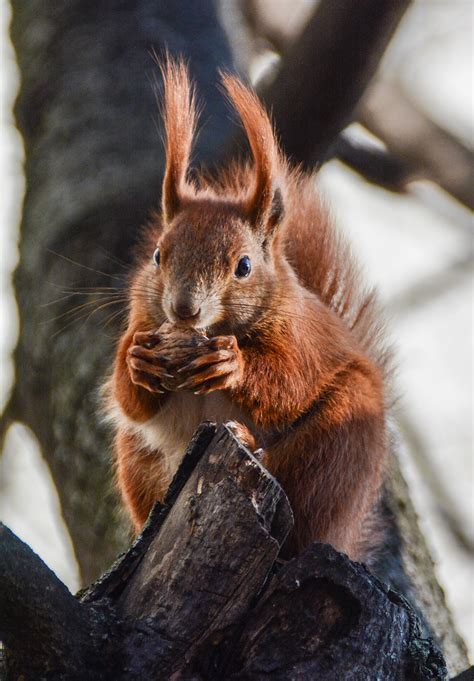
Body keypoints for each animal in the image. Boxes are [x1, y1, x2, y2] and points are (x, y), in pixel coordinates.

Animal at [105, 57, 390, 556]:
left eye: (243, 266)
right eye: (158, 255)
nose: (184, 309)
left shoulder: (302, 340)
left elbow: (289, 383)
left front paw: (231, 365)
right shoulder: (141, 320)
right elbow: (130, 399)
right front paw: (139, 362)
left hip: (338, 445)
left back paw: (246, 437)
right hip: (137, 455)